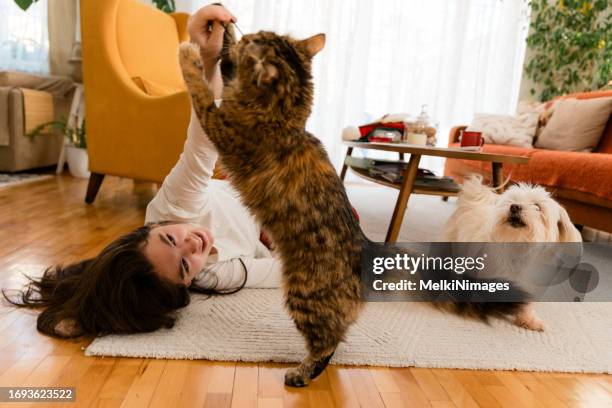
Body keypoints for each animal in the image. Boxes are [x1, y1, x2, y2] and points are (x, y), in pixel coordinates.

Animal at [178, 30, 532, 388]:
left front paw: (192, 53)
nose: (245, 34)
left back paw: (300, 374)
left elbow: (202, 92)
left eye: (256, 40)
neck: (288, 117)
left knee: (327, 342)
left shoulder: (221, 126)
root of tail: (368, 248)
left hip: (303, 296)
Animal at [442, 175, 580, 332]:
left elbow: (526, 303)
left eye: (538, 206)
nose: (514, 206)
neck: (518, 249)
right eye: (513, 200)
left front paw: (528, 320)